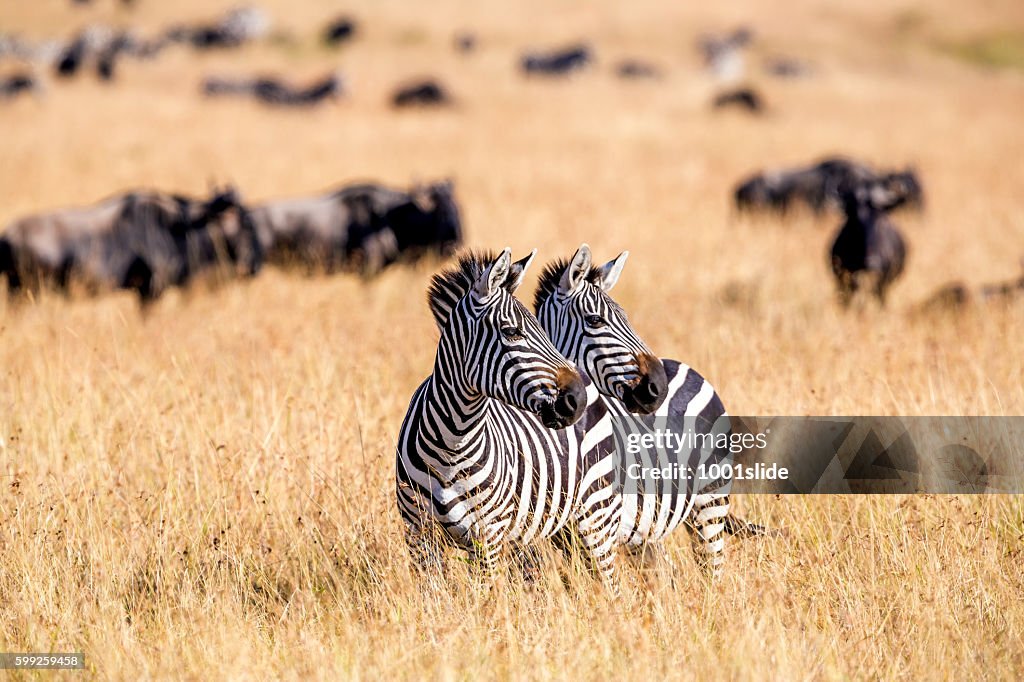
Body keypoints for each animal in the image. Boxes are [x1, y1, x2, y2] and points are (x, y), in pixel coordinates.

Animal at [395, 248, 624, 593]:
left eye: (540, 329)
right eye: (512, 332)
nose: (577, 399)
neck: (452, 440)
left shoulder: (487, 537)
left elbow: (484, 600)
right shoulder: (419, 535)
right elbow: (435, 599)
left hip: (595, 513)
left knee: (610, 584)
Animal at [534, 244, 772, 579]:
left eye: (625, 316)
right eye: (595, 320)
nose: (657, 385)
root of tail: (686, 367)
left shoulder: (600, 524)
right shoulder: (566, 537)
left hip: (708, 501)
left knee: (712, 570)